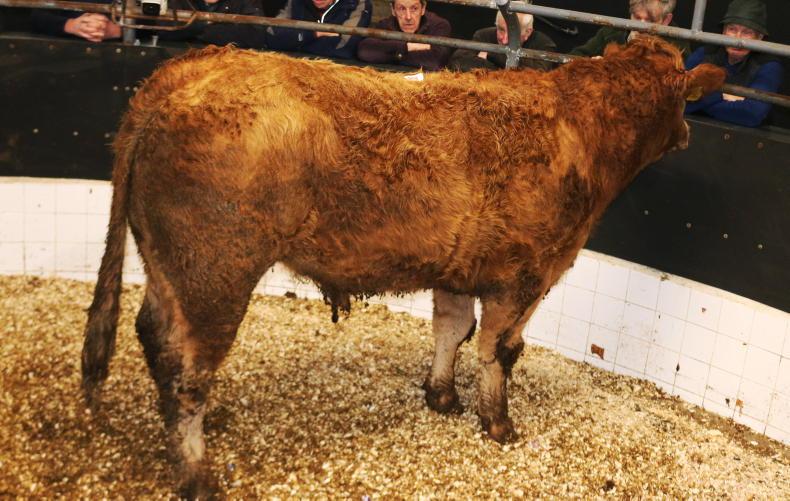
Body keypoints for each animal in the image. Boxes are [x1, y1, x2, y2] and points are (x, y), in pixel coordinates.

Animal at [81, 36, 724, 499]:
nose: (691, 134)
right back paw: (196, 474)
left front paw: (441, 397)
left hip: (168, 266)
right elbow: (501, 350)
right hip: (215, 272)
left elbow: (452, 330)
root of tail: (186, 71)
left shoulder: (460, 269)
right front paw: (499, 425)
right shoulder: (527, 272)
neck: (582, 128)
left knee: (156, 338)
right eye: (683, 98)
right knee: (188, 368)